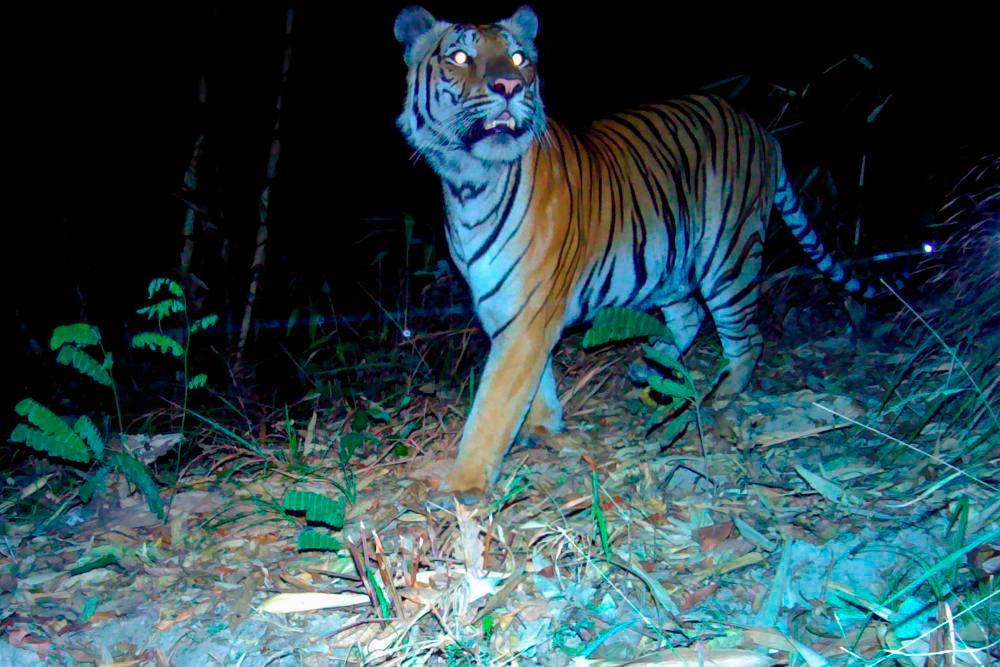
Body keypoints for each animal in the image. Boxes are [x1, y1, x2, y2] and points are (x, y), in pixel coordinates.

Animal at [394, 5, 876, 496]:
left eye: (517, 58)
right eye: (459, 56)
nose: (509, 86)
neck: (469, 182)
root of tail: (761, 130)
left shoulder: (528, 313)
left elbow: (494, 403)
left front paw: (463, 484)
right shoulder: (508, 311)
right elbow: (536, 380)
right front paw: (545, 429)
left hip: (729, 257)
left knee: (746, 339)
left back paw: (720, 395)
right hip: (671, 262)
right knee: (689, 316)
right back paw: (652, 368)